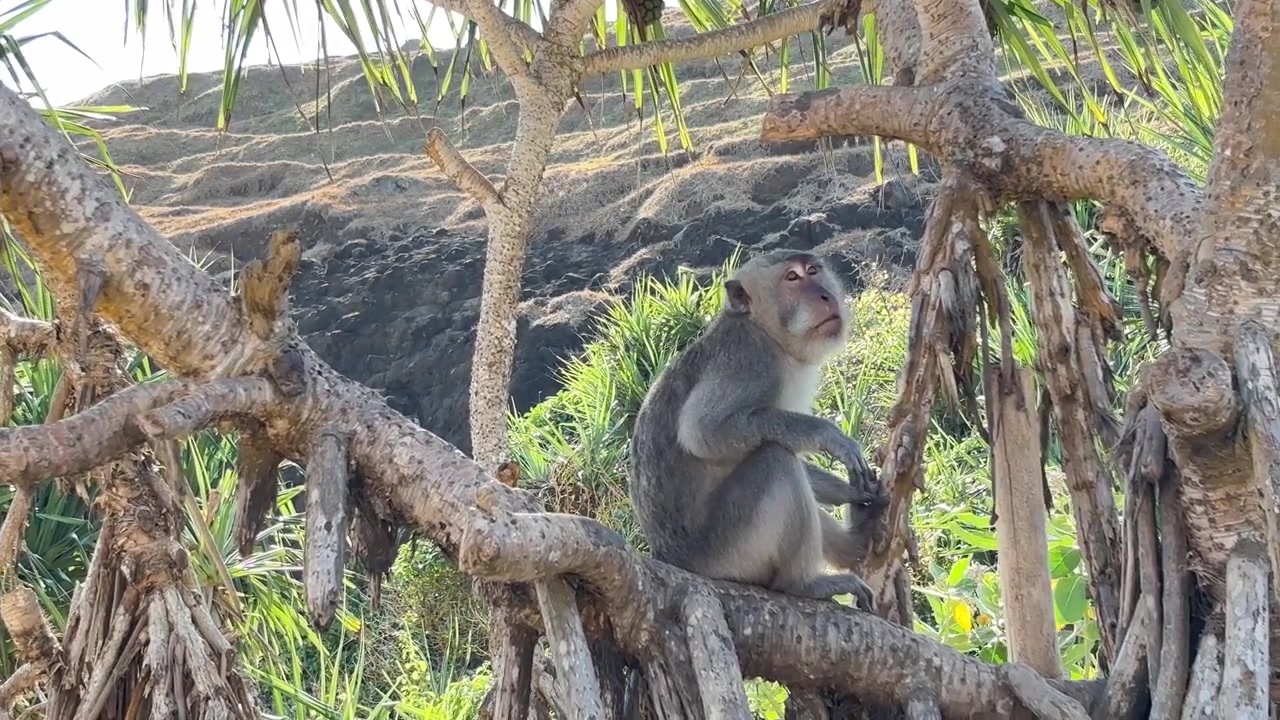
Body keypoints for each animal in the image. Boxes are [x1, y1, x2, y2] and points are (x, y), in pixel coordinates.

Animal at [627, 249, 888, 611]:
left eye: (813, 270)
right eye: (791, 278)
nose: (825, 295)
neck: (767, 334)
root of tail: (669, 557)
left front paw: (850, 491)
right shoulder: (749, 361)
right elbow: (702, 432)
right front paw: (829, 436)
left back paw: (854, 545)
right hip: (726, 552)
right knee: (775, 460)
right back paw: (803, 584)